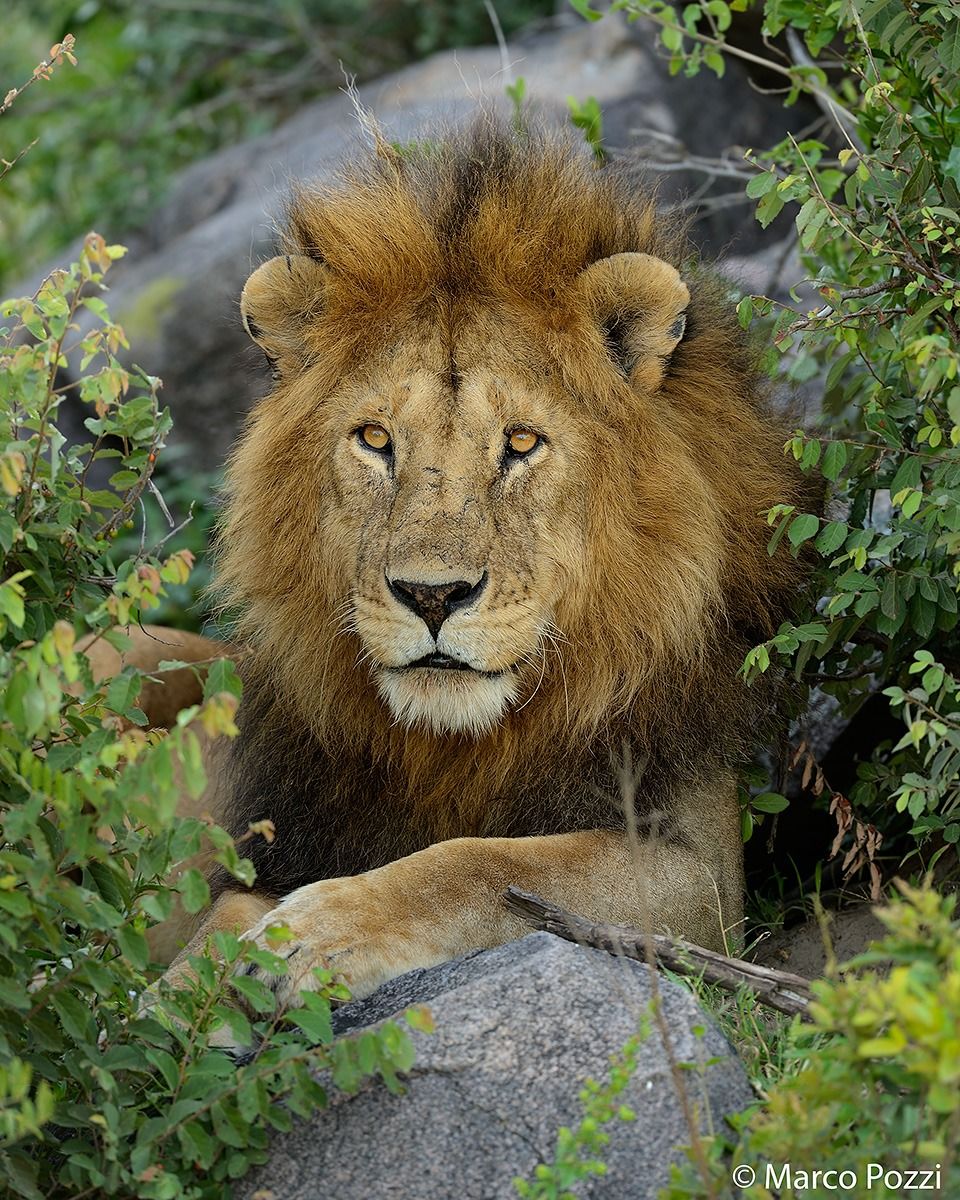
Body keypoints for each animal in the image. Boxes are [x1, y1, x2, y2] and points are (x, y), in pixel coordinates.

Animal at [128, 120, 807, 1024]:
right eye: (375, 439)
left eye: (520, 443)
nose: (432, 595)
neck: (456, 746)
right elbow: (228, 907)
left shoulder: (703, 874)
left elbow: (485, 861)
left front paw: (315, 931)